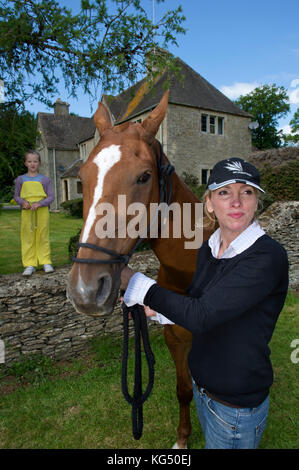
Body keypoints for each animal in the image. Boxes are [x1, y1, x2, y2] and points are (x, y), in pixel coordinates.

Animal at [67, 91, 213, 448]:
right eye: (83, 179)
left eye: (144, 176)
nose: (85, 290)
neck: (190, 270)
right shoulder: (176, 339)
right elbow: (184, 389)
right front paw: (183, 438)